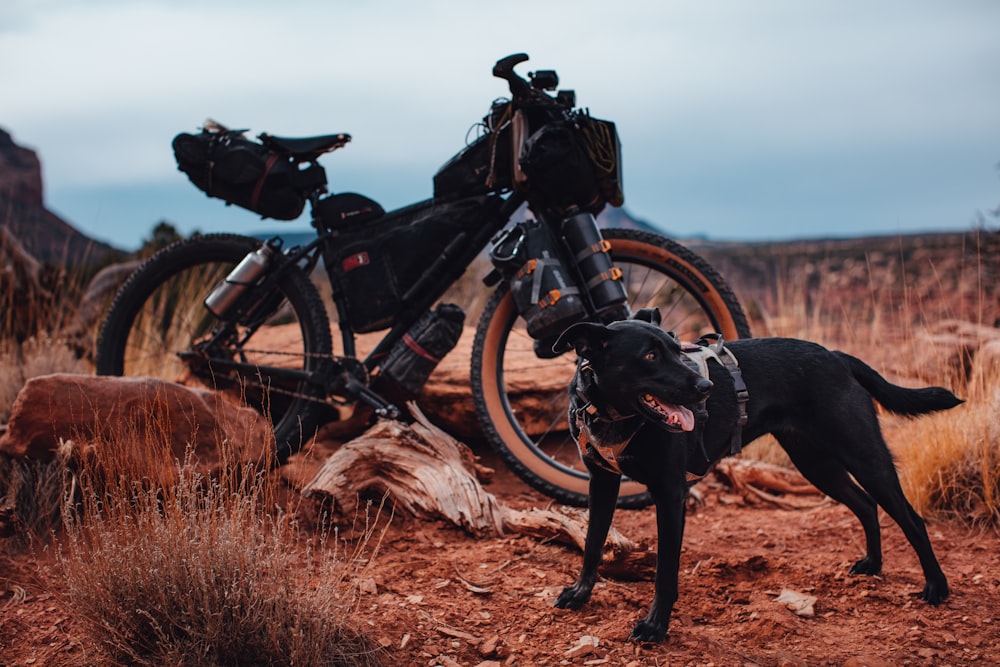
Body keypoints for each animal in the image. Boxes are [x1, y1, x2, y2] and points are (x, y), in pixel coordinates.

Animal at [556, 310, 960, 644]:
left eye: (676, 348)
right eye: (650, 355)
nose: (706, 389)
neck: (614, 416)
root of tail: (837, 356)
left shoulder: (671, 494)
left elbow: (665, 573)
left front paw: (655, 627)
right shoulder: (601, 483)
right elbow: (592, 544)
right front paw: (580, 594)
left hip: (863, 454)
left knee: (911, 519)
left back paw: (936, 587)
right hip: (816, 463)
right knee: (865, 504)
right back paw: (873, 565)